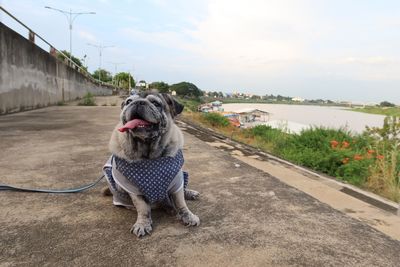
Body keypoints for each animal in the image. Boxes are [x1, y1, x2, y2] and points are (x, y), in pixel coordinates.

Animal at [103, 91, 200, 238]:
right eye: (128, 101)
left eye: (155, 103)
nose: (138, 102)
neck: (149, 155)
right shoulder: (133, 189)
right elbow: (143, 208)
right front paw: (143, 224)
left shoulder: (177, 181)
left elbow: (181, 202)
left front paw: (188, 216)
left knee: (182, 191)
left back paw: (189, 194)